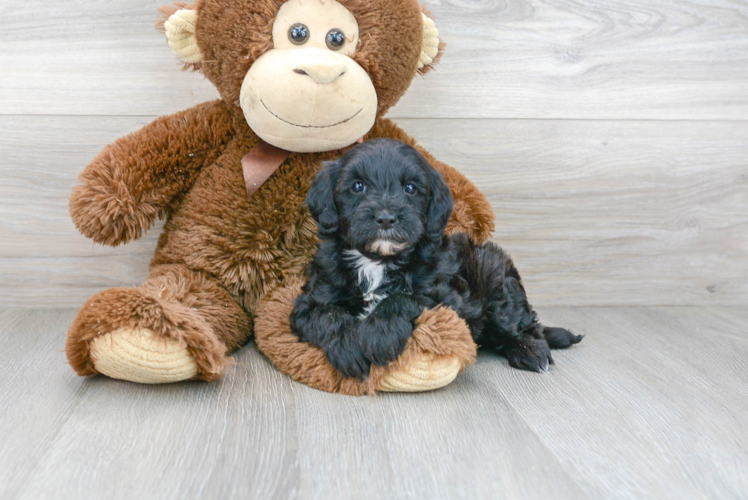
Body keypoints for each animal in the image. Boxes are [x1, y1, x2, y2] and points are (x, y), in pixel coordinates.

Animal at [290, 138, 580, 378]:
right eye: (358, 186)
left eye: (410, 188)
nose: (386, 218)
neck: (378, 261)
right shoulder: (311, 297)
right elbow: (325, 314)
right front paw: (348, 345)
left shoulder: (448, 299)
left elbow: (403, 297)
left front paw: (378, 335)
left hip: (495, 276)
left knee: (524, 325)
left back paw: (530, 350)